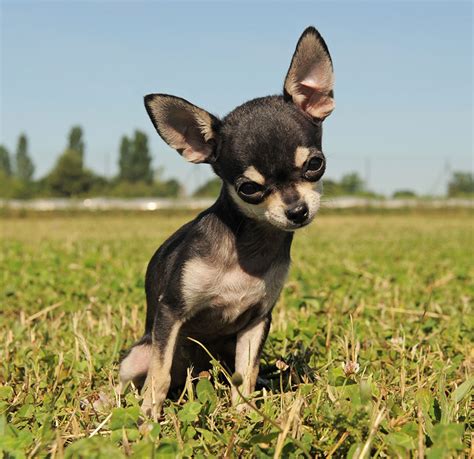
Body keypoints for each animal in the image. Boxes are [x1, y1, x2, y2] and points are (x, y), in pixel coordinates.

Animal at [118, 26, 334, 420]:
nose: (297, 211)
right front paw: (148, 420)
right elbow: (158, 378)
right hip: (140, 353)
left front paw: (245, 417)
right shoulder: (171, 313)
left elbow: (244, 374)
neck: (248, 245)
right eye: (248, 188)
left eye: (315, 164)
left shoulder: (256, 320)